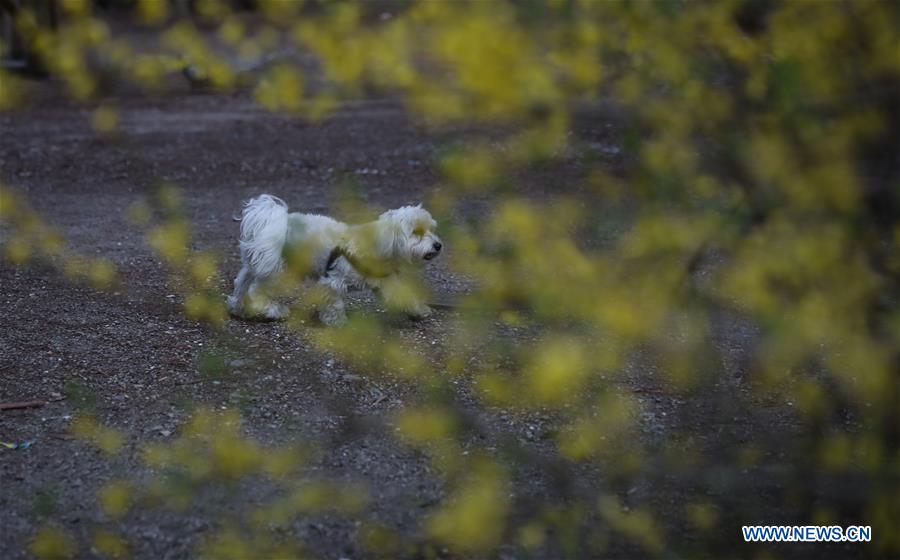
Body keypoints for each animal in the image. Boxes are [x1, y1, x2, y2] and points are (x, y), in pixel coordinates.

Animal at [227, 195, 442, 324]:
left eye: (431, 229)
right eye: (416, 232)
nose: (438, 245)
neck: (377, 244)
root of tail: (277, 222)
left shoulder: (386, 282)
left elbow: (404, 296)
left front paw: (418, 310)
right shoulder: (333, 282)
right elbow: (334, 304)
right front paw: (337, 323)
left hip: (256, 265)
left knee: (242, 284)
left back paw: (239, 308)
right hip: (278, 270)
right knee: (256, 292)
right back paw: (273, 310)